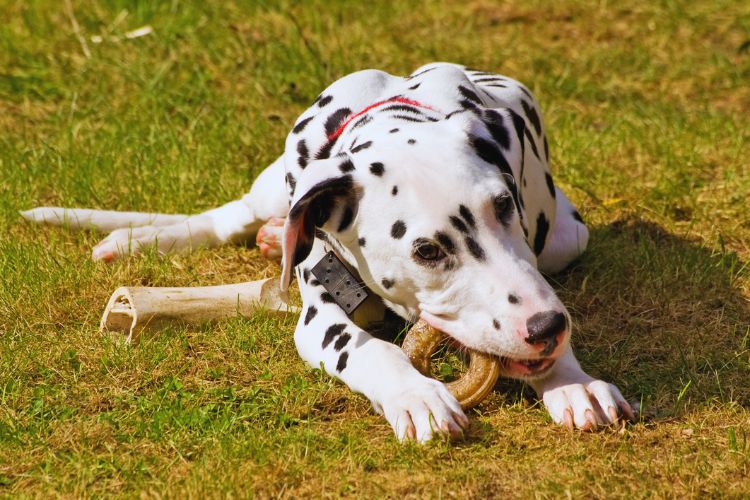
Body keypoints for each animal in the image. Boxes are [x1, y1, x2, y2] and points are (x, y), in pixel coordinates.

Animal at [22, 61, 636, 442]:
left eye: (504, 205)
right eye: (426, 250)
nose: (547, 326)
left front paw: (572, 381)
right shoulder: (318, 320)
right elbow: (373, 351)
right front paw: (417, 394)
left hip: (567, 238)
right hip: (274, 188)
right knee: (227, 218)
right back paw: (137, 240)